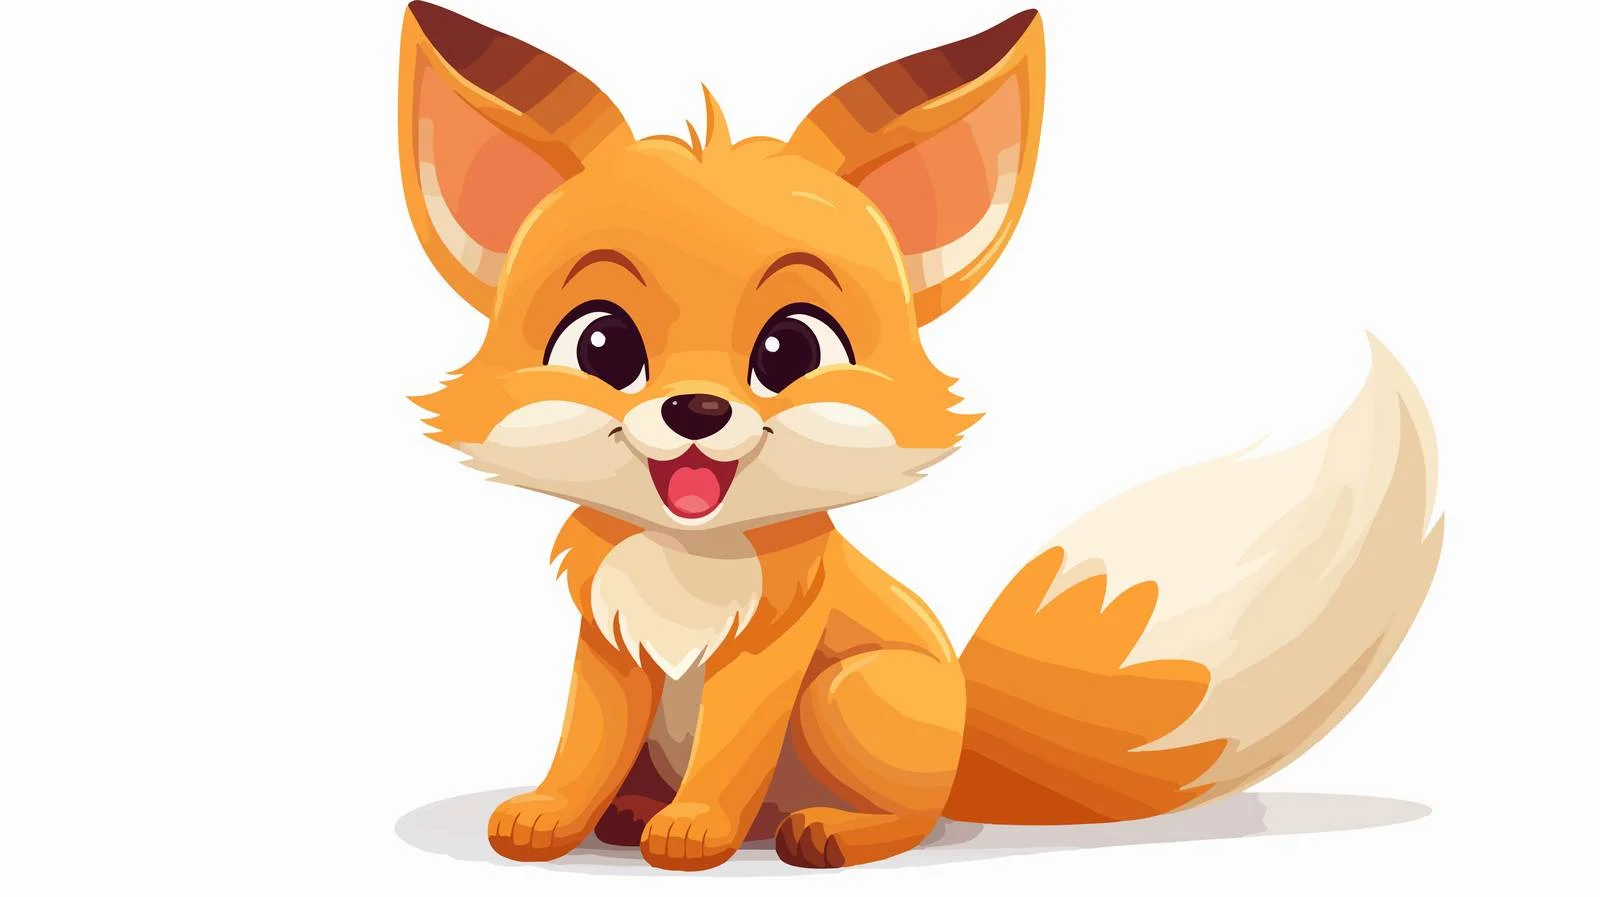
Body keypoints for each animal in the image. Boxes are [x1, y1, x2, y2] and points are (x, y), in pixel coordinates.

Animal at [394, 1, 1443, 872]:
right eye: (602, 344)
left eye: (792, 347)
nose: (697, 411)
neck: (688, 559)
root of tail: (967, 742)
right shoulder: (610, 645)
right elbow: (584, 741)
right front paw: (554, 815)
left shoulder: (771, 654)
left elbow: (729, 753)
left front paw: (695, 833)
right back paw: (633, 811)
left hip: (853, 692)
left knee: (906, 817)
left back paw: (821, 832)